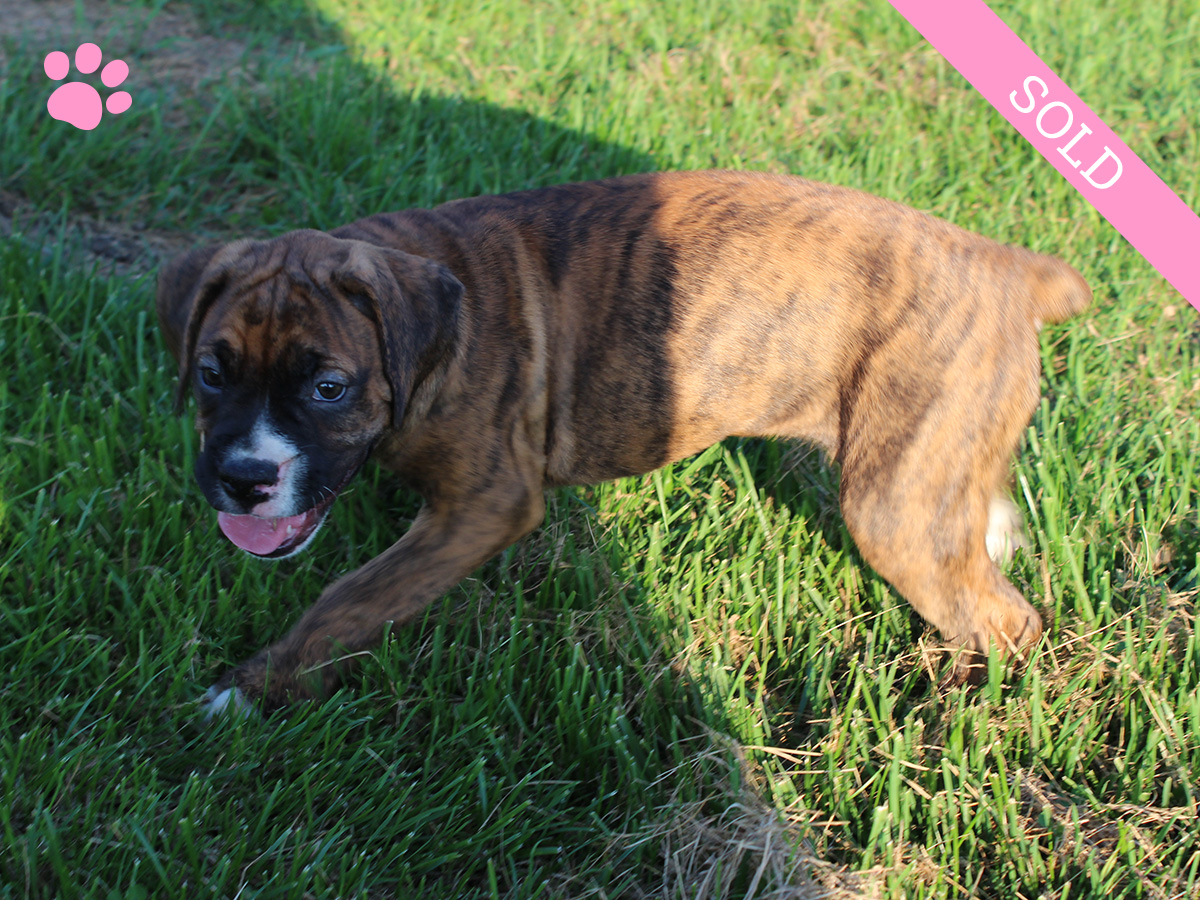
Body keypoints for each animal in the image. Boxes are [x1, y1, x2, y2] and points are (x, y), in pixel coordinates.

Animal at [154, 170, 1094, 720]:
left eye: (328, 388)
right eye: (211, 373)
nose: (243, 478)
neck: (432, 338)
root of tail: (1008, 267)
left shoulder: (483, 506)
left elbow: (350, 598)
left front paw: (248, 691)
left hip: (890, 506)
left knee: (1005, 619)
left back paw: (963, 707)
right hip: (928, 460)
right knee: (976, 527)